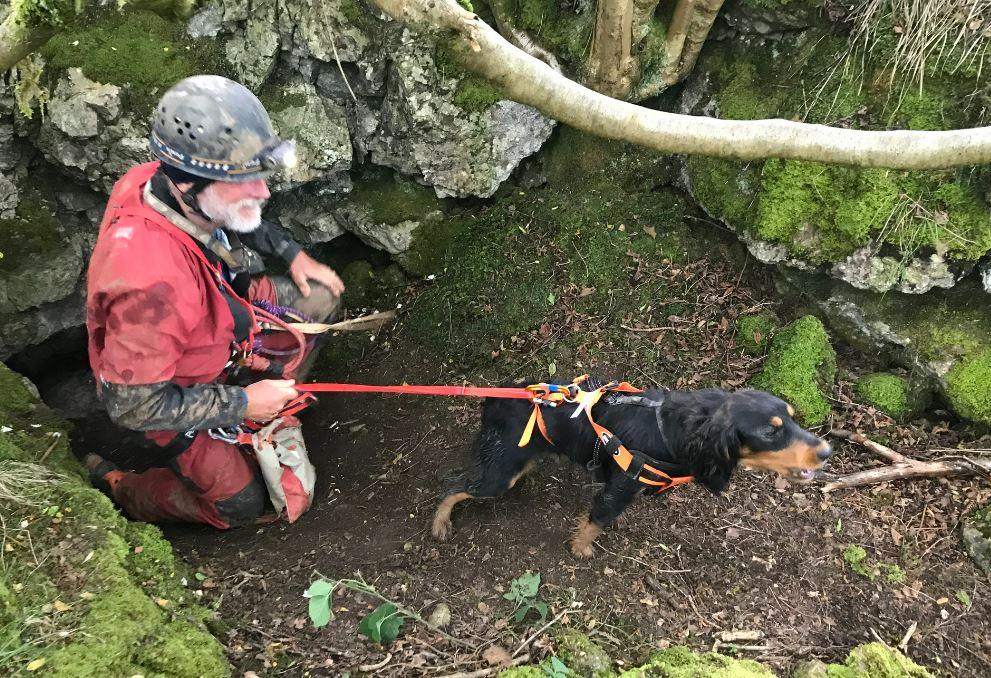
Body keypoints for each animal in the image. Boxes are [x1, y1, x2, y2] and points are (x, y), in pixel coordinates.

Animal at [432, 382, 828, 556]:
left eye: (793, 418)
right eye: (770, 432)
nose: (828, 450)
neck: (674, 431)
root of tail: (496, 398)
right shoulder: (621, 484)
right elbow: (597, 520)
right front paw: (581, 547)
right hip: (499, 476)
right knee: (455, 486)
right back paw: (440, 522)